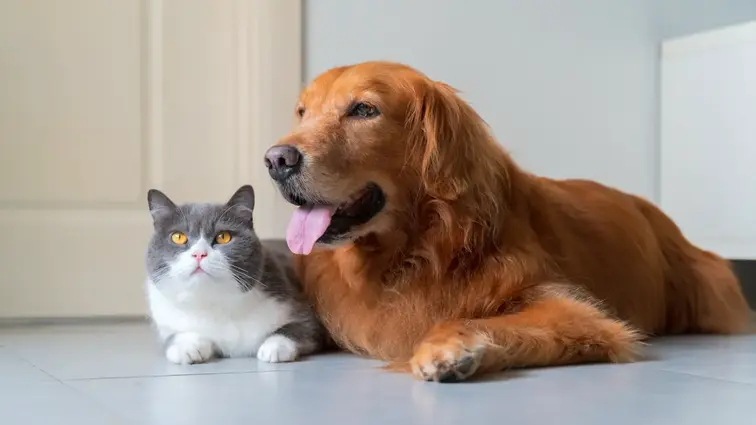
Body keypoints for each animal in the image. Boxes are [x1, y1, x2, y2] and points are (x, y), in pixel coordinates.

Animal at [145, 186, 324, 364]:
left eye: (223, 237)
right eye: (178, 237)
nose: (199, 254)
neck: (214, 303)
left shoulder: (299, 306)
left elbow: (301, 327)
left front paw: (275, 346)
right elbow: (177, 335)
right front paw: (187, 347)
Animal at [262, 60, 748, 380]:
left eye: (364, 110)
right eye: (303, 112)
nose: (275, 160)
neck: (420, 250)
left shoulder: (575, 310)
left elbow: (476, 319)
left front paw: (451, 347)